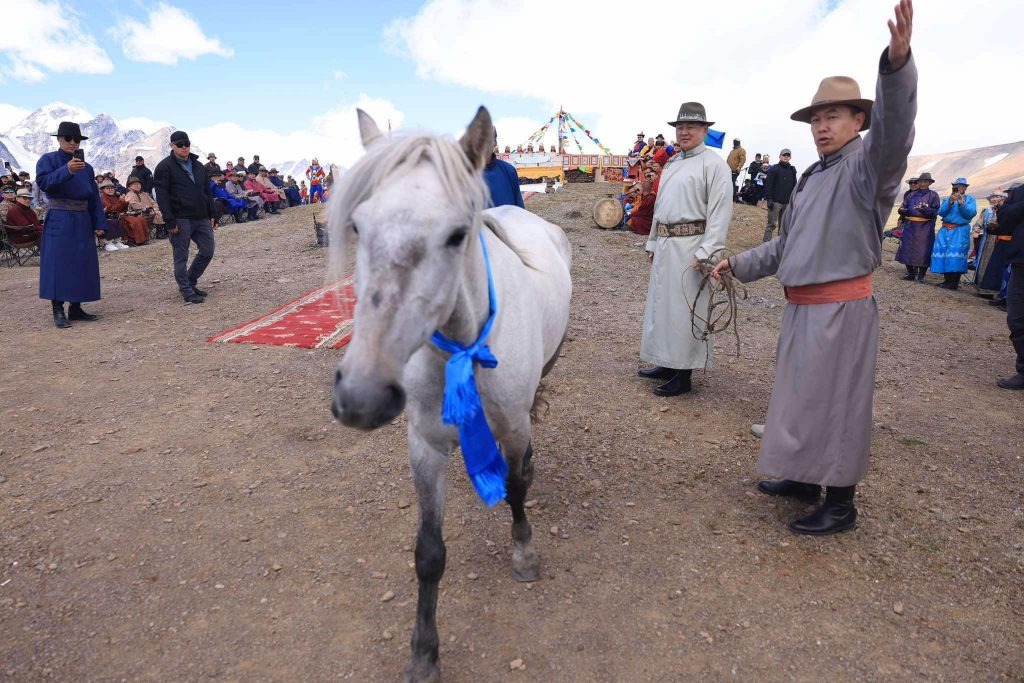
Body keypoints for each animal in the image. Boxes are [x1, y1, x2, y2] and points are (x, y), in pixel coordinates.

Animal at [329, 108, 573, 683]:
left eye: (458, 233)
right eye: (357, 225)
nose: (362, 395)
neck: (464, 345)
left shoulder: (513, 427)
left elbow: (518, 485)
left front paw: (524, 553)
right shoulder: (425, 445)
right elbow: (428, 553)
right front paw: (423, 654)